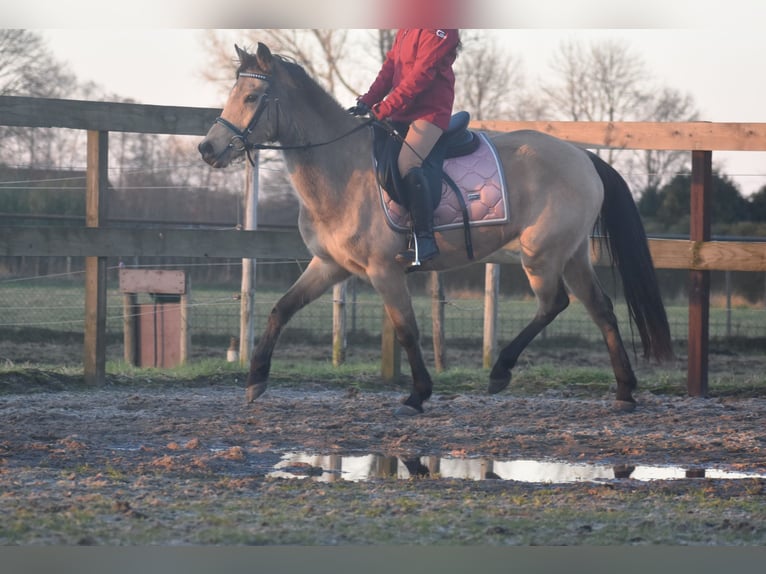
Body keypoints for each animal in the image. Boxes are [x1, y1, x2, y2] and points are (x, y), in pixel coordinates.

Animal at [198, 44, 672, 414]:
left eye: (253, 96)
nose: (207, 149)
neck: (342, 169)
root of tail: (583, 156)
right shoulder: (330, 266)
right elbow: (281, 309)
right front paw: (255, 381)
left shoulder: (384, 271)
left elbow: (407, 329)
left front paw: (417, 395)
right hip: (571, 253)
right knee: (600, 308)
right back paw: (624, 391)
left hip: (541, 253)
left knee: (555, 304)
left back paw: (501, 371)